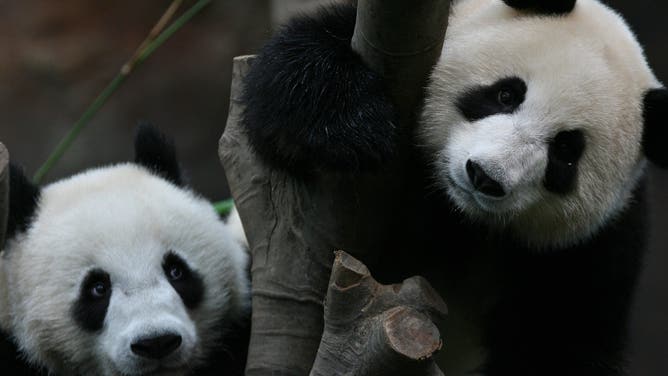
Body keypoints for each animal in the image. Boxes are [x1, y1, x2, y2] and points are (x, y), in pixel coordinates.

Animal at [240, 0, 668, 374]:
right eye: (506, 94)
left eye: (565, 151)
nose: (484, 176)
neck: (455, 214)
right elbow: (287, 84)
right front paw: (352, 128)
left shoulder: (590, 252)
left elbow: (560, 344)